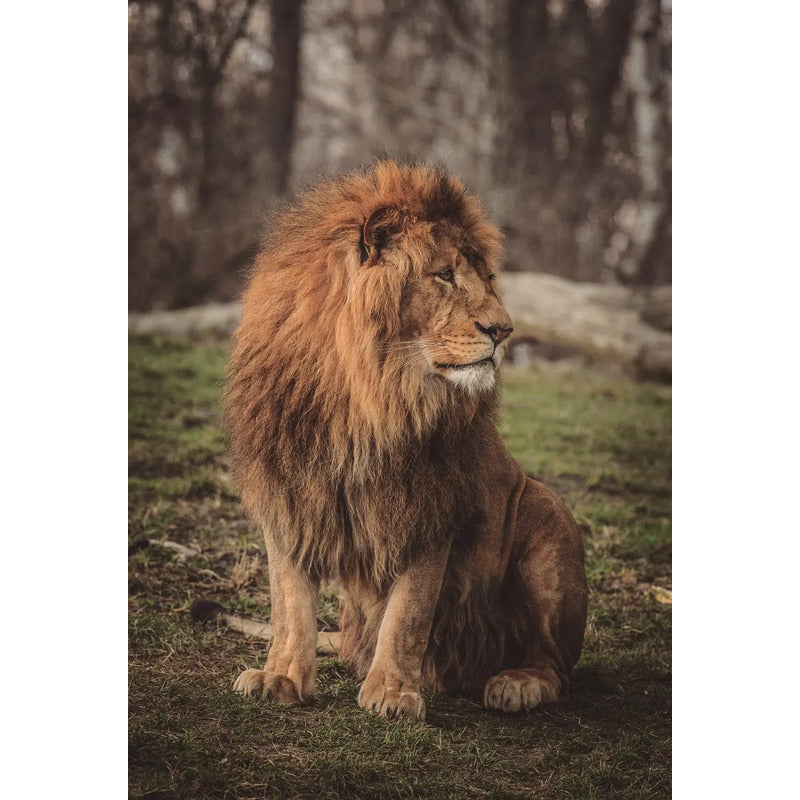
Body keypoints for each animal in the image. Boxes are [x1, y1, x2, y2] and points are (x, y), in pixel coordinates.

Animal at [226, 160, 588, 721]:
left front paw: (393, 691)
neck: (368, 394)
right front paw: (281, 677)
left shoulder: (431, 504)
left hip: (547, 515)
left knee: (555, 664)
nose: (504, 331)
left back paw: (517, 683)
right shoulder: (288, 491)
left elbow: (409, 611)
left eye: (487, 279)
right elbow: (290, 604)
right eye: (444, 275)